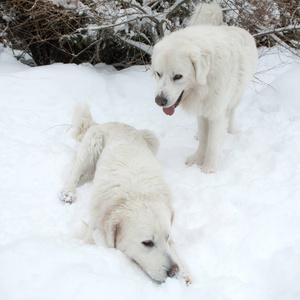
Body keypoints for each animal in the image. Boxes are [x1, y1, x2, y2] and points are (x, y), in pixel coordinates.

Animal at [60, 105, 190, 284]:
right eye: (147, 243)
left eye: (167, 236)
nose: (174, 271)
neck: (137, 193)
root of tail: (107, 123)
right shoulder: (95, 222)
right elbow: (90, 239)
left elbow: (174, 249)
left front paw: (185, 273)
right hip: (92, 144)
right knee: (75, 173)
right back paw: (68, 192)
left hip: (150, 138)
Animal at [152, 1, 258, 173]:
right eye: (158, 74)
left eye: (178, 76)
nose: (159, 101)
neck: (205, 81)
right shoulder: (202, 111)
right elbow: (203, 139)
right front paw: (196, 159)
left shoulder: (216, 112)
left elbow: (213, 143)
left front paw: (208, 168)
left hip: (237, 96)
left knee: (231, 114)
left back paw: (231, 130)